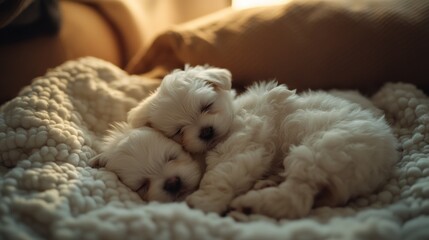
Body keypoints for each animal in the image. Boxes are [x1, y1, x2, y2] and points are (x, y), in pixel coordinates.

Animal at [126, 65, 398, 219]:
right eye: (179, 130)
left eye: (207, 106)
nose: (206, 131)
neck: (233, 115)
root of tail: (385, 156)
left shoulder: (244, 145)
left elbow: (220, 175)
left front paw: (204, 201)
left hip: (319, 151)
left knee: (296, 198)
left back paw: (249, 204)